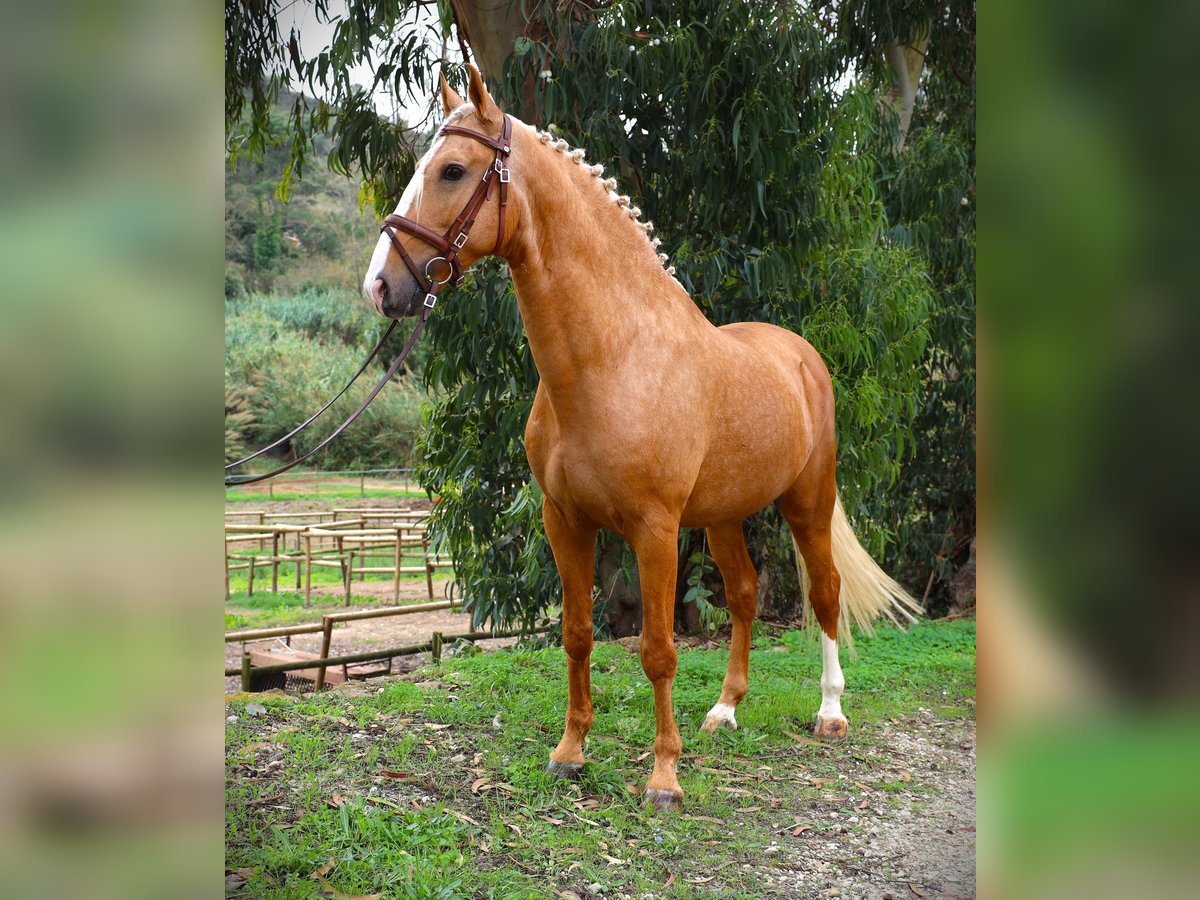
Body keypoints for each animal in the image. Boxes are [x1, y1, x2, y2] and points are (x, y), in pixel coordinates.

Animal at [360, 63, 921, 811]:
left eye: (452, 170)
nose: (381, 286)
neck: (613, 359)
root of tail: (801, 356)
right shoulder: (565, 522)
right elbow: (576, 636)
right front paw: (570, 753)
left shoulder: (655, 530)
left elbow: (658, 649)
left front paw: (663, 779)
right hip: (723, 516)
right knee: (744, 594)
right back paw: (725, 711)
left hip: (808, 499)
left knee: (825, 591)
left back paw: (830, 712)